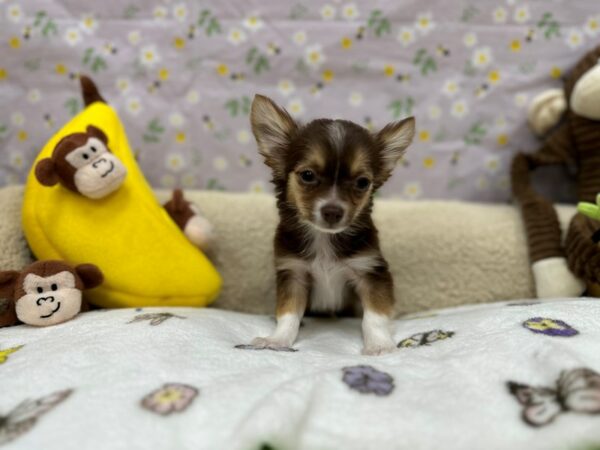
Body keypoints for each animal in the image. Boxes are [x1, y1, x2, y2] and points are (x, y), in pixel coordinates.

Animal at [248, 96, 412, 356]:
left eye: (362, 182)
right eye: (307, 175)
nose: (333, 211)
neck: (324, 238)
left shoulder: (371, 271)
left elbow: (374, 316)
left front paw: (379, 344)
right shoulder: (293, 274)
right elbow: (288, 313)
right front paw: (278, 340)